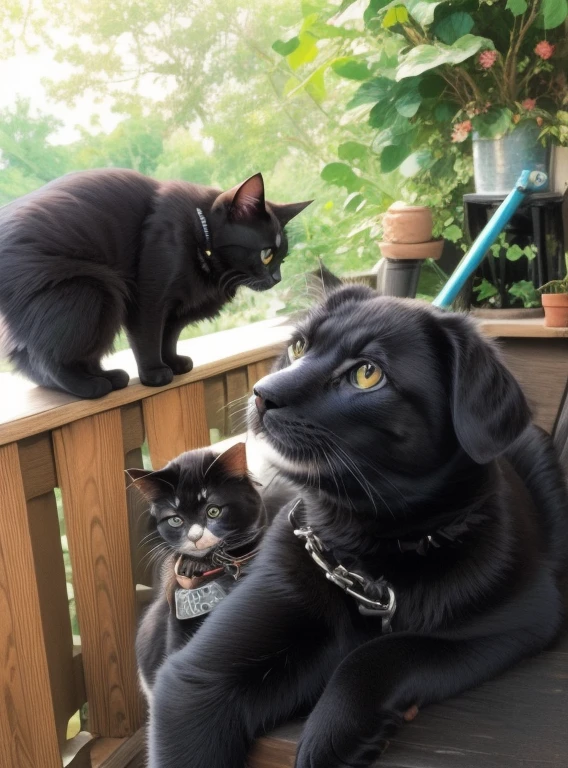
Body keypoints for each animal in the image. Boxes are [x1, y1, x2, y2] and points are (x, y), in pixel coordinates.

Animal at [0, 168, 310, 396]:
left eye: (282, 258)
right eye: (266, 254)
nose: (277, 278)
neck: (199, 237)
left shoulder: (179, 308)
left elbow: (168, 337)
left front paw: (173, 362)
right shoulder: (149, 298)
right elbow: (148, 337)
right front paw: (154, 374)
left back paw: (109, 377)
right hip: (94, 291)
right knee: (43, 358)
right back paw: (89, 386)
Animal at [148, 286, 568, 768]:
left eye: (368, 373)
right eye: (298, 347)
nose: (260, 394)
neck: (368, 553)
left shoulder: (521, 618)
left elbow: (386, 650)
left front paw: (334, 731)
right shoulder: (195, 681)